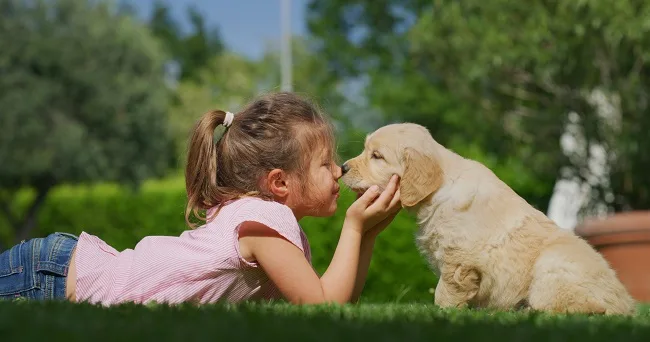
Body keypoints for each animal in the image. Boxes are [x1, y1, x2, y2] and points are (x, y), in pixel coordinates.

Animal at [342, 123, 636, 316]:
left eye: (377, 156)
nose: (343, 167)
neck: (440, 190)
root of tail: (625, 306)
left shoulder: (459, 260)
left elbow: (444, 291)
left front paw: (443, 314)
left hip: (553, 265)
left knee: (584, 308)